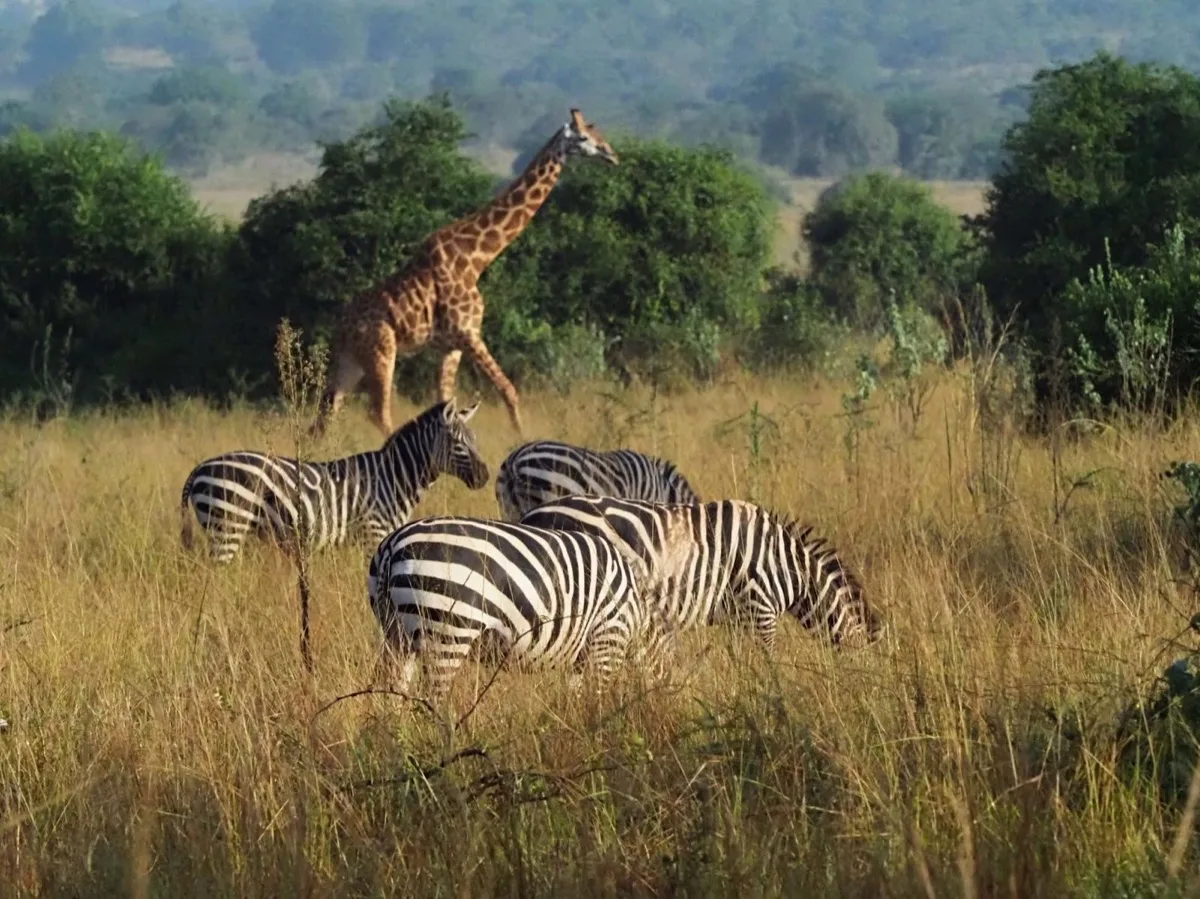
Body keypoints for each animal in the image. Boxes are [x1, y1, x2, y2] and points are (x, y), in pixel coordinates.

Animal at [180, 398, 489, 562]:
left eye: (475, 440)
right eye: (458, 444)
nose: (484, 477)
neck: (393, 478)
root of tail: (200, 467)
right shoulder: (372, 533)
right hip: (227, 527)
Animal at [308, 108, 620, 440]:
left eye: (598, 133)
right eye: (584, 137)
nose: (612, 155)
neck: (476, 258)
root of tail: (339, 326)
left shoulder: (451, 346)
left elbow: (446, 404)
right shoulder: (469, 333)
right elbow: (509, 390)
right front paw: (522, 440)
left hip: (351, 359)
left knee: (326, 412)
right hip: (381, 350)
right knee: (377, 413)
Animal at [368, 516, 667, 701]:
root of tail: (392, 545)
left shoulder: (582, 658)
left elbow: (576, 698)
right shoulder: (608, 636)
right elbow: (597, 701)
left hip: (398, 634)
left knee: (392, 694)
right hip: (449, 632)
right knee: (434, 701)